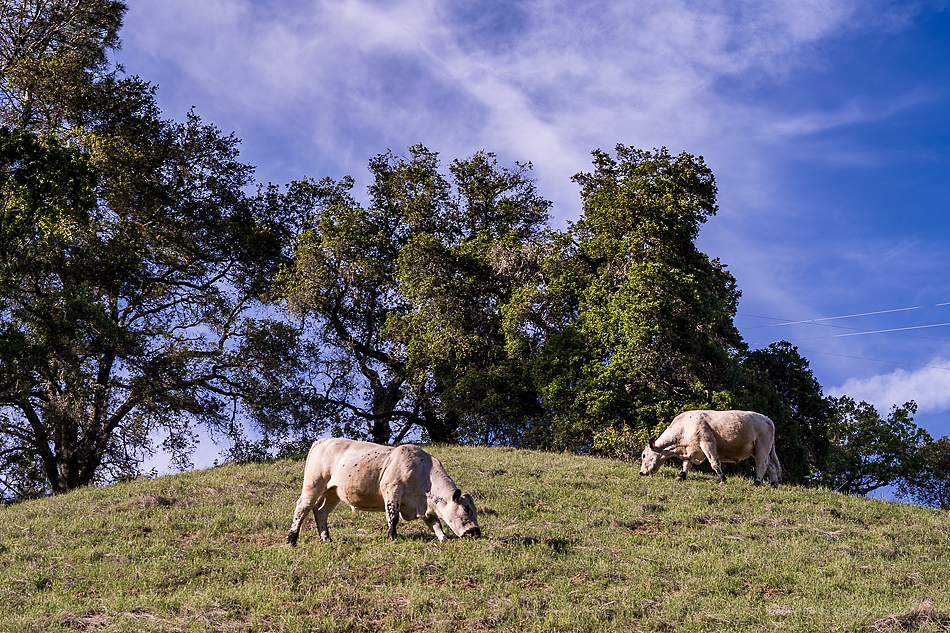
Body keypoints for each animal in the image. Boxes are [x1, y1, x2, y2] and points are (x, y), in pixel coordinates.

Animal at [288, 436, 484, 544]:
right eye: (467, 509)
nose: (476, 532)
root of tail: (323, 440)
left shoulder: (424, 505)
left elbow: (435, 523)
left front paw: (443, 539)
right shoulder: (392, 489)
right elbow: (393, 516)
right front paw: (392, 537)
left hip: (332, 492)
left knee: (320, 511)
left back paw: (326, 539)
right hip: (314, 484)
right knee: (302, 507)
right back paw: (292, 539)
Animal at [640, 408, 780, 486]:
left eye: (644, 455)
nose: (641, 473)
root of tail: (768, 419)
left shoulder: (707, 442)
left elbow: (714, 463)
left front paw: (722, 480)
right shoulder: (691, 450)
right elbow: (686, 465)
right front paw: (681, 476)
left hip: (762, 445)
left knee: (762, 464)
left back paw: (756, 482)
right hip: (759, 449)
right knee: (771, 465)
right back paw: (774, 484)